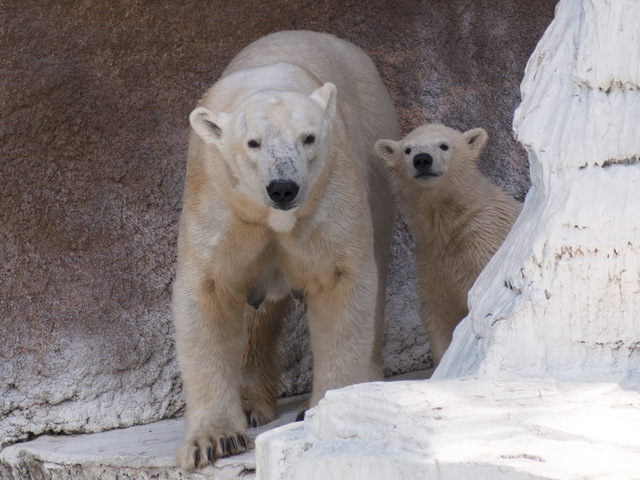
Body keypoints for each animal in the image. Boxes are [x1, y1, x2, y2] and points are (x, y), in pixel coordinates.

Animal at [171, 31, 400, 468]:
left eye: (308, 137)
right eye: (253, 143)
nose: (283, 187)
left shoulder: (329, 190)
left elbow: (340, 280)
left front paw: (325, 408)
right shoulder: (219, 201)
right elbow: (209, 291)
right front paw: (214, 440)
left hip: (375, 143)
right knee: (253, 312)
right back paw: (249, 404)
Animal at [376, 125, 520, 366]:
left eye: (444, 145)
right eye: (407, 150)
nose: (422, 159)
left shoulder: (483, 243)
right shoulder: (432, 260)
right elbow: (438, 311)